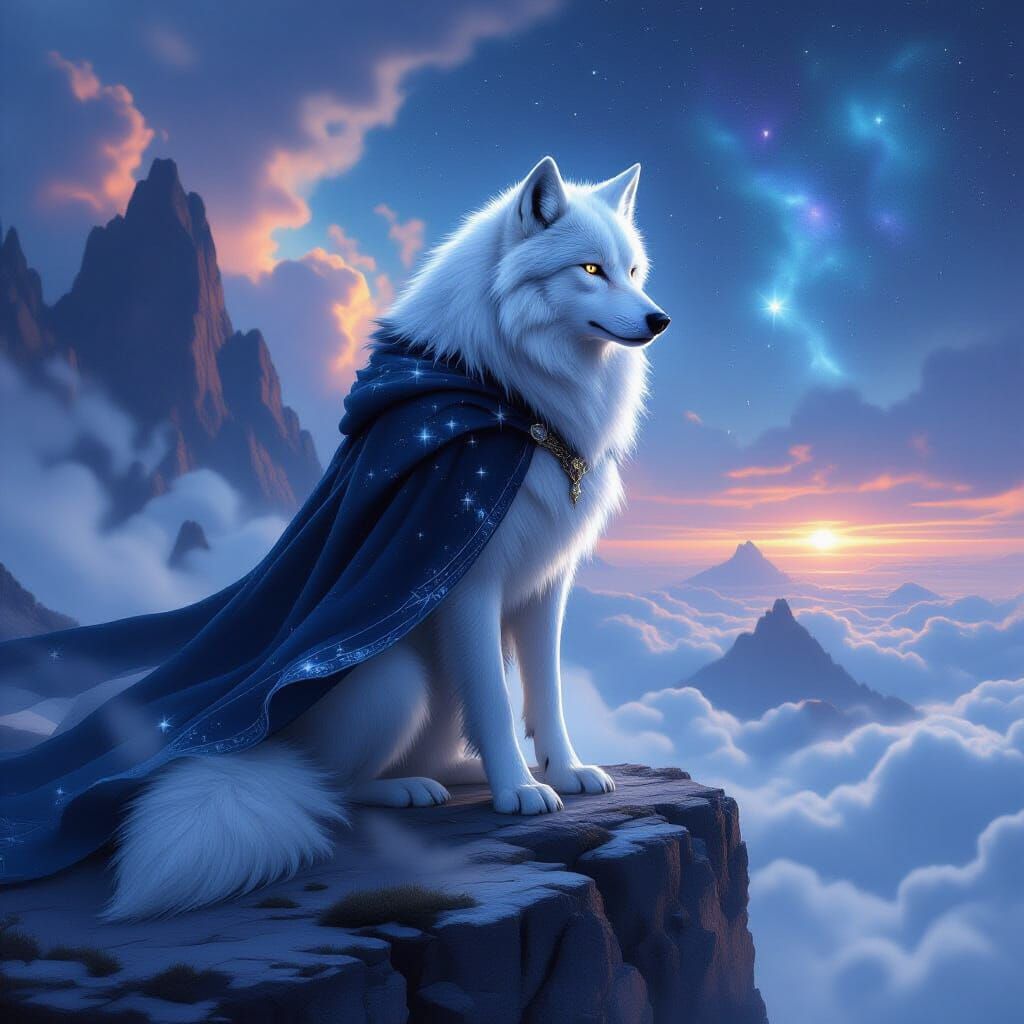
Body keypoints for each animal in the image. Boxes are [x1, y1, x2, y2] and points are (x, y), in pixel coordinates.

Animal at [107, 156, 670, 918]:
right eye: (590, 269)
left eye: (633, 270)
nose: (658, 318)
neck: (513, 400)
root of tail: (256, 739)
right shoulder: (466, 576)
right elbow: (495, 699)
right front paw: (519, 789)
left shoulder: (547, 584)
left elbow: (545, 691)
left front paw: (564, 768)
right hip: (399, 682)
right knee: (331, 787)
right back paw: (410, 787)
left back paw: (460, 769)